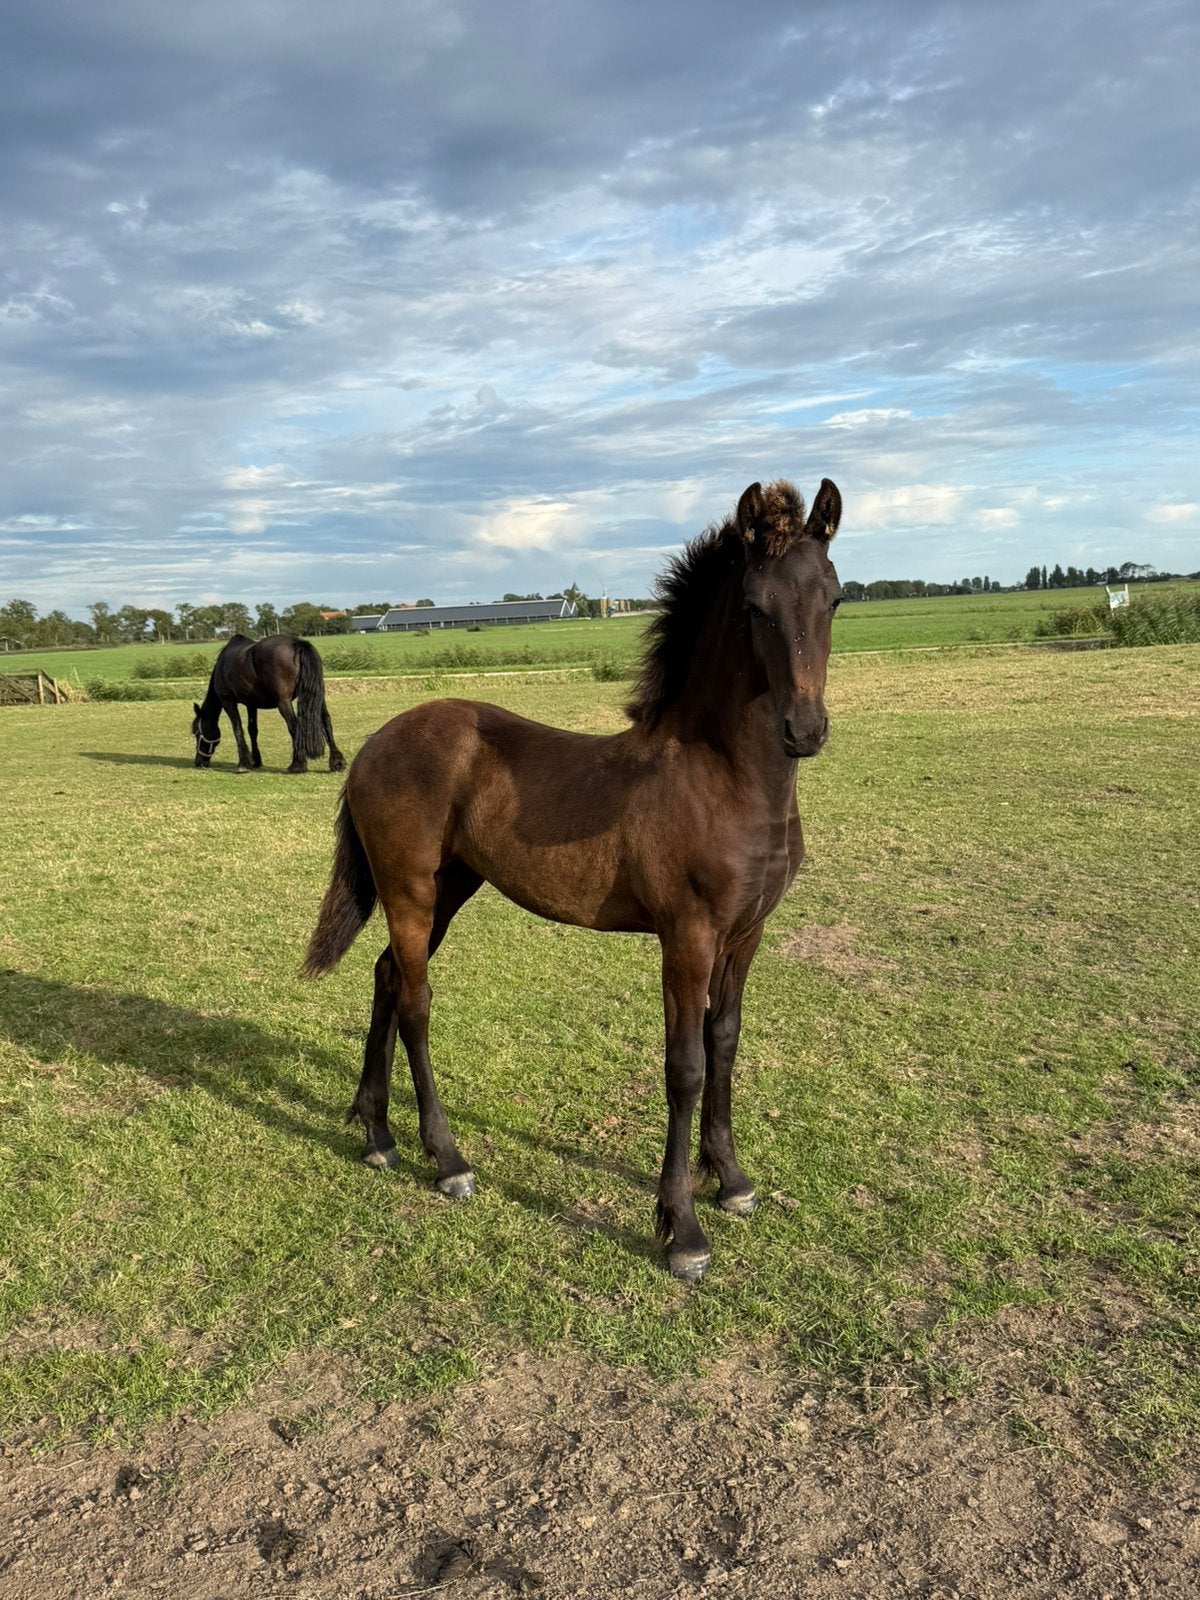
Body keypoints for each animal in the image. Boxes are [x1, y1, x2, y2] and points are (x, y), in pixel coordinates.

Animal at [192, 634, 346, 775]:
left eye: (196, 733)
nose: (199, 762)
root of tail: (297, 643)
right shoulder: (251, 704)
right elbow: (252, 730)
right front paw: (255, 761)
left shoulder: (228, 701)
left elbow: (238, 730)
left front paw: (243, 764)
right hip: (318, 696)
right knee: (326, 721)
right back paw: (337, 763)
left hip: (283, 702)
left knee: (294, 726)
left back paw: (297, 764)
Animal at [304, 478, 842, 1279]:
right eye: (754, 605)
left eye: (833, 598)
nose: (804, 730)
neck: (724, 780)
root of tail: (373, 744)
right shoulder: (686, 936)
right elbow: (684, 1065)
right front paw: (681, 1229)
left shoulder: (746, 933)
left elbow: (725, 1042)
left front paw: (731, 1178)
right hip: (411, 891)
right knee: (416, 1003)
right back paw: (448, 1160)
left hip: (452, 888)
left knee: (385, 978)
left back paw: (377, 1136)